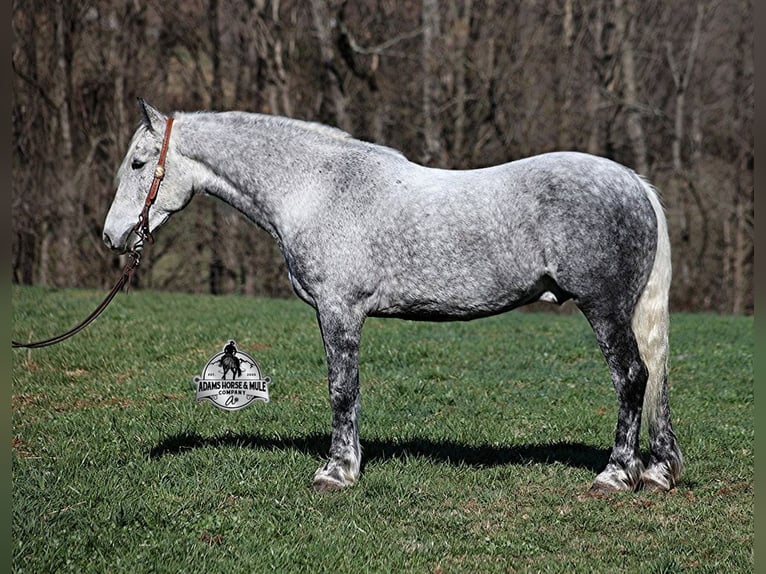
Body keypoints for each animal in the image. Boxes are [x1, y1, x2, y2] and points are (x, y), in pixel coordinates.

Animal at [103, 99, 682, 493]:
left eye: (138, 164)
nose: (112, 237)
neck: (317, 188)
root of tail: (634, 182)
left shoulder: (339, 311)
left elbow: (342, 390)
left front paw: (337, 472)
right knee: (654, 379)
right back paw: (657, 471)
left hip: (604, 310)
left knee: (632, 378)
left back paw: (616, 474)